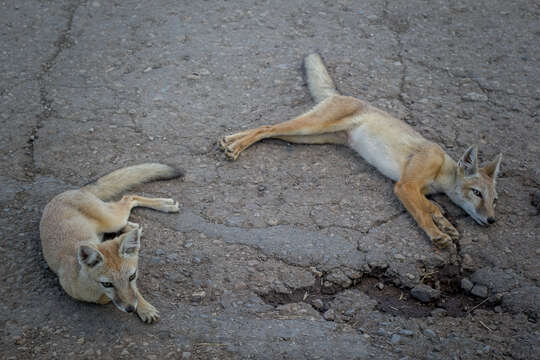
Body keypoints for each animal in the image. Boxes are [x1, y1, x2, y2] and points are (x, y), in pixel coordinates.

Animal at [39, 163, 184, 324]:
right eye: (107, 284)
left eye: (131, 277)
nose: (130, 309)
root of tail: (75, 191)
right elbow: (107, 299)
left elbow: (134, 292)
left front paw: (145, 308)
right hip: (114, 221)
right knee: (128, 201)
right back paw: (133, 226)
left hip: (113, 220)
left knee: (129, 197)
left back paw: (164, 205)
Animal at [220, 54, 502, 250]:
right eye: (477, 193)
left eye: (494, 200)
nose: (491, 221)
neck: (442, 169)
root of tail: (340, 95)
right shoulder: (405, 185)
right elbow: (423, 212)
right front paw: (437, 233)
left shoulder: (417, 189)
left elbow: (431, 206)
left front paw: (445, 224)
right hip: (310, 127)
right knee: (267, 127)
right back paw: (234, 146)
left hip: (307, 137)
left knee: (269, 131)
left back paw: (231, 141)